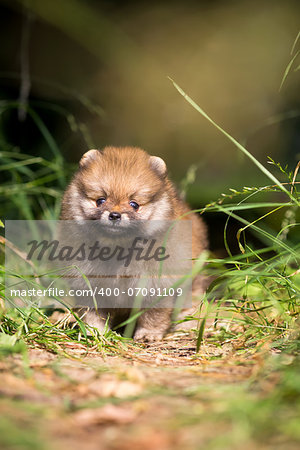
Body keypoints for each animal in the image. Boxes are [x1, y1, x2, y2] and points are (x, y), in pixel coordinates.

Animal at [60, 148, 206, 342]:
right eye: (100, 200)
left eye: (134, 204)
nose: (114, 215)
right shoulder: (86, 282)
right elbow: (92, 312)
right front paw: (95, 332)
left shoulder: (156, 284)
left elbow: (153, 315)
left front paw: (148, 334)